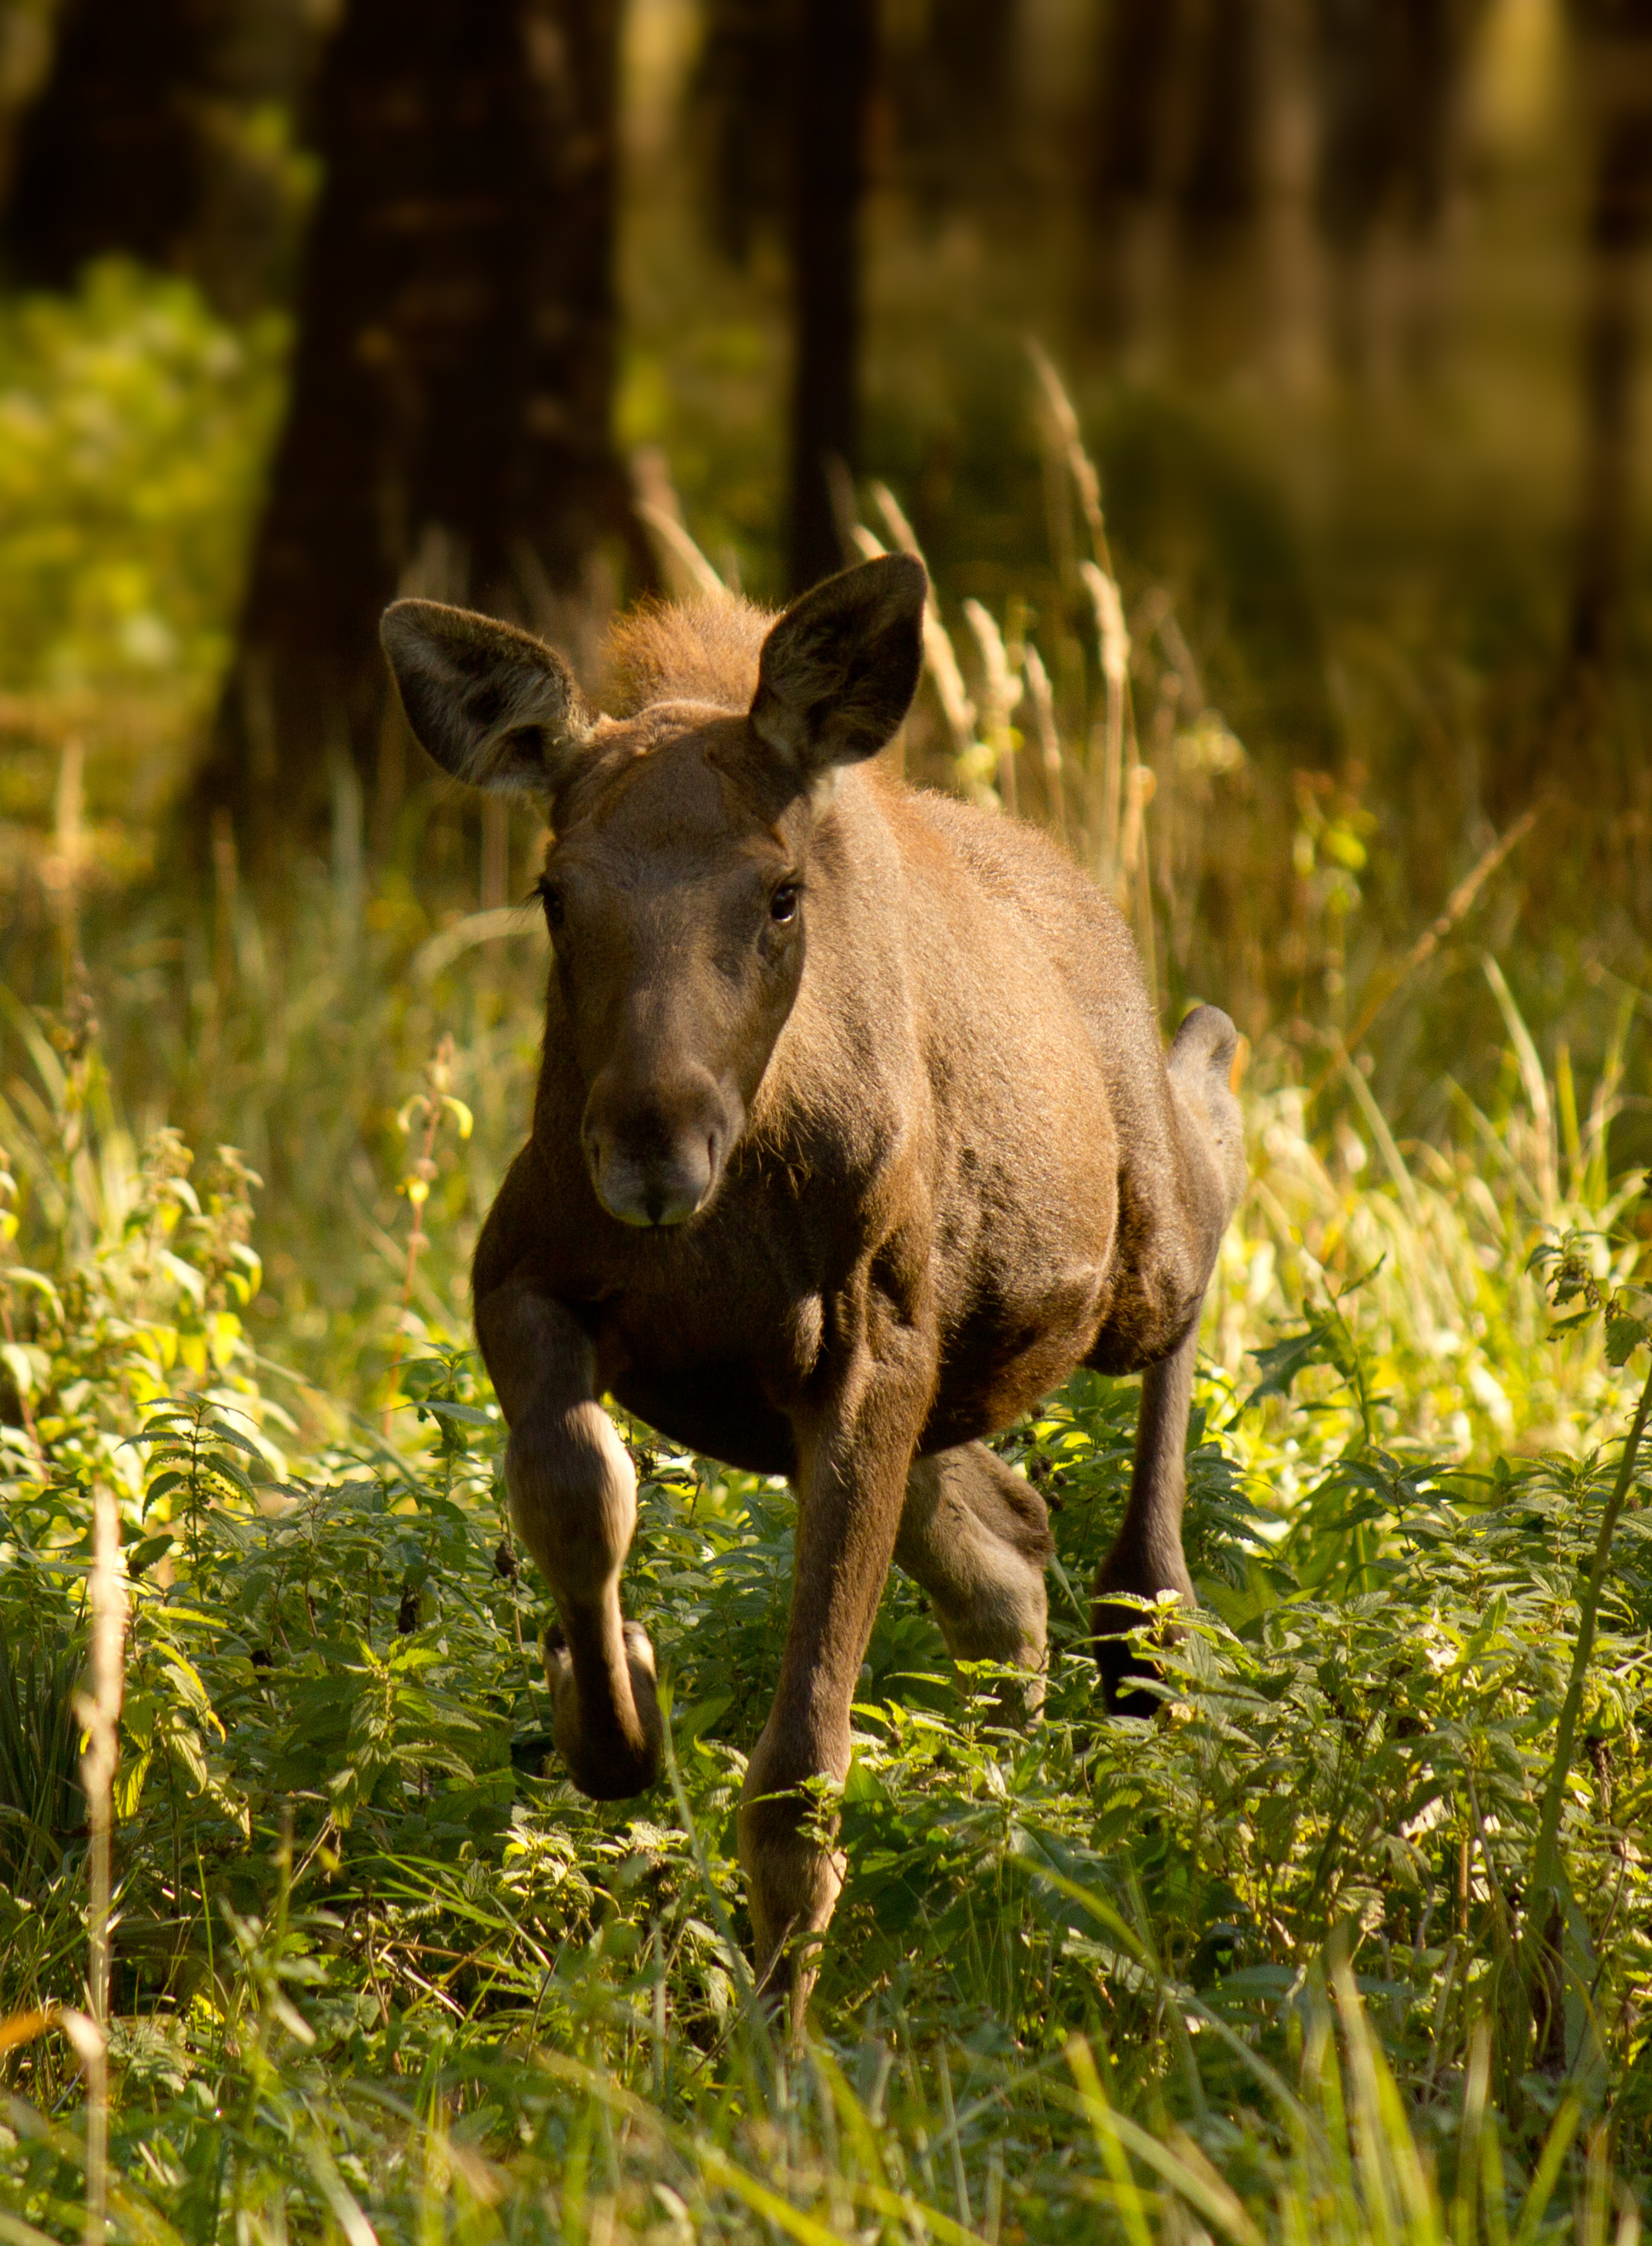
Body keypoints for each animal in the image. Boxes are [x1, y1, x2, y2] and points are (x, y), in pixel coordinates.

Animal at [383, 552, 1239, 2030]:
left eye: (779, 893)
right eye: (555, 890)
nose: (651, 1144)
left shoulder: (869, 1346)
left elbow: (798, 1771)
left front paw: (779, 2043)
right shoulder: (520, 1279)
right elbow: (576, 1491)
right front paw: (610, 1703)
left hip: (1126, 1261)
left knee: (1210, 1168)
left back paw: (1148, 1631)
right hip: (952, 1377)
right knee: (1008, 1553)